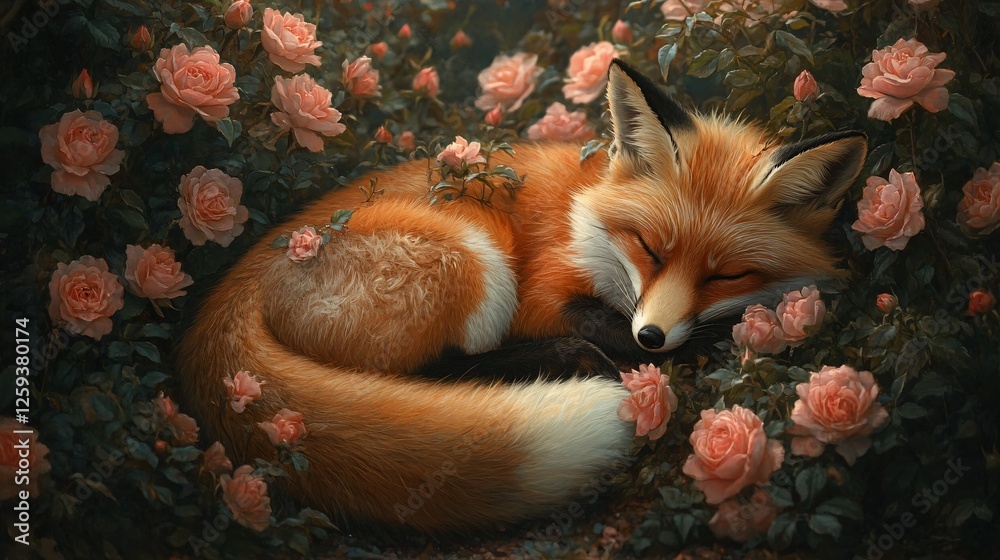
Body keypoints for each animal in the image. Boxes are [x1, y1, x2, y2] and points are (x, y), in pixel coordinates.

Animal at [175, 59, 868, 532]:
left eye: (726, 276)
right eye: (650, 248)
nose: (651, 336)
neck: (586, 217)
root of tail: (229, 293)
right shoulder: (540, 290)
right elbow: (591, 321)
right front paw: (676, 346)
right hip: (473, 259)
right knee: (442, 369)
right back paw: (562, 363)